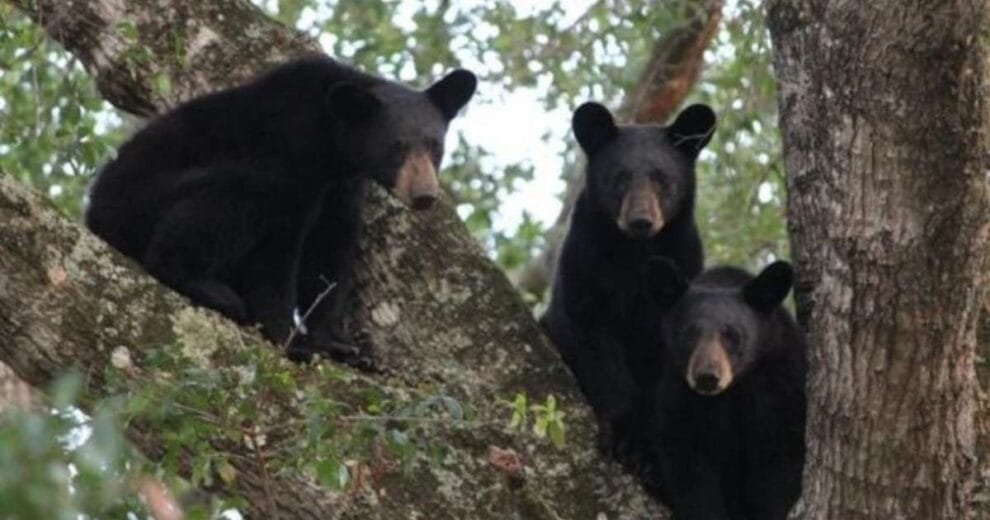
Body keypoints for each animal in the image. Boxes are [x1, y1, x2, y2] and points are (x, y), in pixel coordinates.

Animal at [85, 54, 477, 363]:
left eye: (434, 145)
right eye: (396, 147)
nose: (424, 195)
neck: (331, 142)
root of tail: (93, 213)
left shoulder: (343, 187)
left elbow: (330, 251)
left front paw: (342, 345)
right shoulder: (289, 155)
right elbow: (280, 248)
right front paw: (290, 339)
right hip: (143, 204)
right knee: (238, 194)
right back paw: (206, 286)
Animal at [539, 101, 716, 462]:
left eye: (663, 179)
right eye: (619, 178)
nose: (641, 221)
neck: (636, 252)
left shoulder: (682, 260)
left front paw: (646, 448)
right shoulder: (585, 262)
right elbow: (597, 343)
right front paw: (621, 432)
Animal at [642, 257, 807, 520]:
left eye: (732, 334)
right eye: (689, 333)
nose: (707, 377)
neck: (733, 390)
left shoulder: (781, 384)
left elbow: (780, 461)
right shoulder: (679, 395)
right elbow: (690, 469)